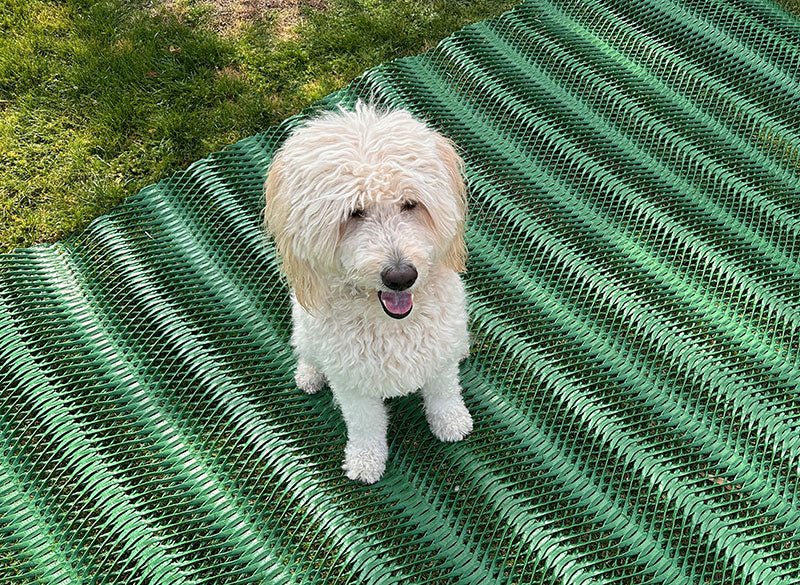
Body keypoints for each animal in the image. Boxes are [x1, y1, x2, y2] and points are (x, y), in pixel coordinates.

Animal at [266, 101, 472, 484]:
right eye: (354, 213)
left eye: (410, 204)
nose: (401, 277)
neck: (392, 324)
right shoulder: (352, 383)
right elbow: (365, 424)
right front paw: (365, 460)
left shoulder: (438, 357)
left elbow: (443, 393)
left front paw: (451, 422)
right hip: (306, 333)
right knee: (307, 352)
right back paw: (309, 375)